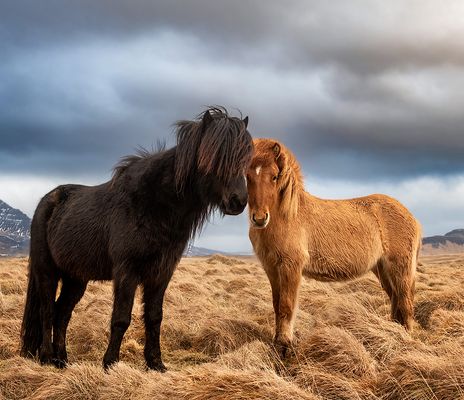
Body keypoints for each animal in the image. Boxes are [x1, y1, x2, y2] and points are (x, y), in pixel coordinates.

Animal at [20, 107, 254, 372]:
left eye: (246, 158)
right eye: (213, 156)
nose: (238, 201)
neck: (153, 205)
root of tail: (47, 200)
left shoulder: (161, 273)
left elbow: (154, 317)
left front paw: (156, 363)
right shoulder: (127, 271)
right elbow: (121, 318)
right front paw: (110, 363)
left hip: (76, 278)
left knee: (62, 313)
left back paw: (62, 360)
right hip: (47, 272)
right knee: (47, 311)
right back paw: (47, 357)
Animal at [248, 139, 422, 354]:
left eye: (274, 176)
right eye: (247, 176)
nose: (259, 218)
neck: (288, 216)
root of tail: (411, 217)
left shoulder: (291, 266)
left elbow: (286, 306)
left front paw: (285, 346)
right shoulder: (271, 268)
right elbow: (276, 304)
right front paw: (277, 343)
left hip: (400, 269)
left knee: (406, 303)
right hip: (382, 269)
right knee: (396, 301)